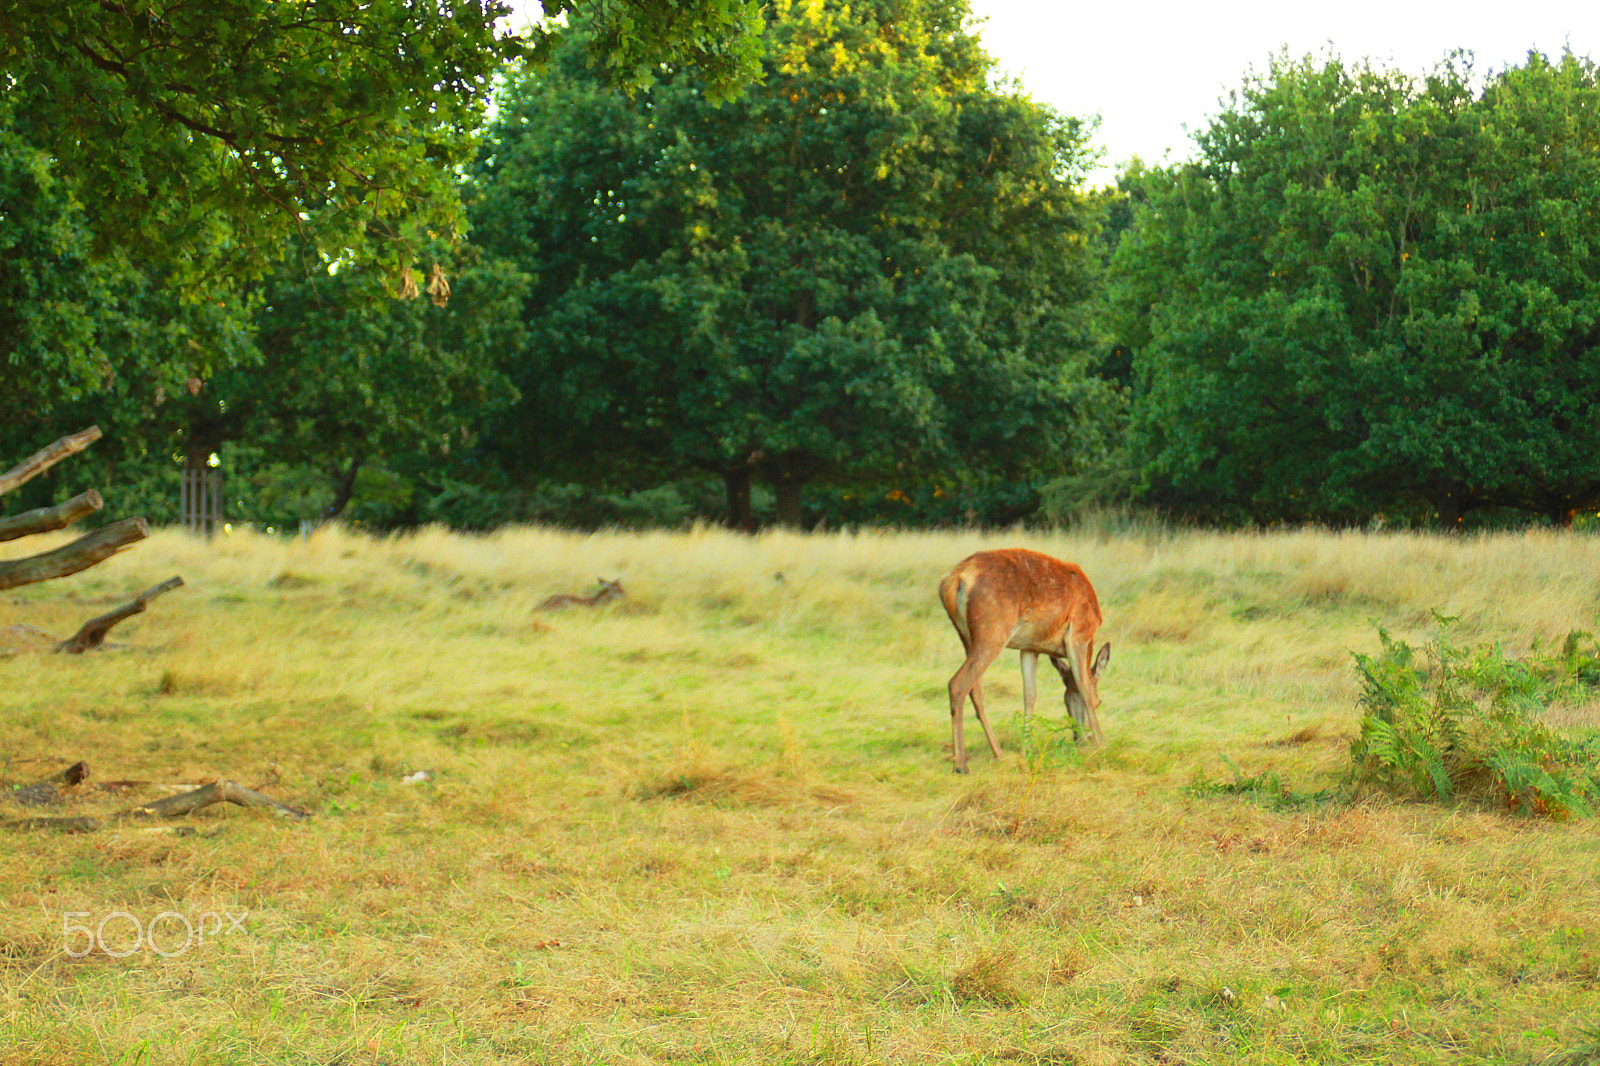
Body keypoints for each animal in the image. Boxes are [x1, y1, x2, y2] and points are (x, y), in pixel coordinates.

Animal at [938, 548, 1111, 773]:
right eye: (1100, 703)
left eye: (1065, 701)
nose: (1080, 738)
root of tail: (954, 580)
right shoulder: (1078, 634)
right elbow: (1085, 688)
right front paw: (1103, 746)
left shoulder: (1030, 648)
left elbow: (1029, 696)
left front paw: (1025, 751)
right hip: (992, 634)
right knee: (957, 683)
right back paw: (961, 764)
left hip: (966, 637)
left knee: (975, 689)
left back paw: (998, 753)